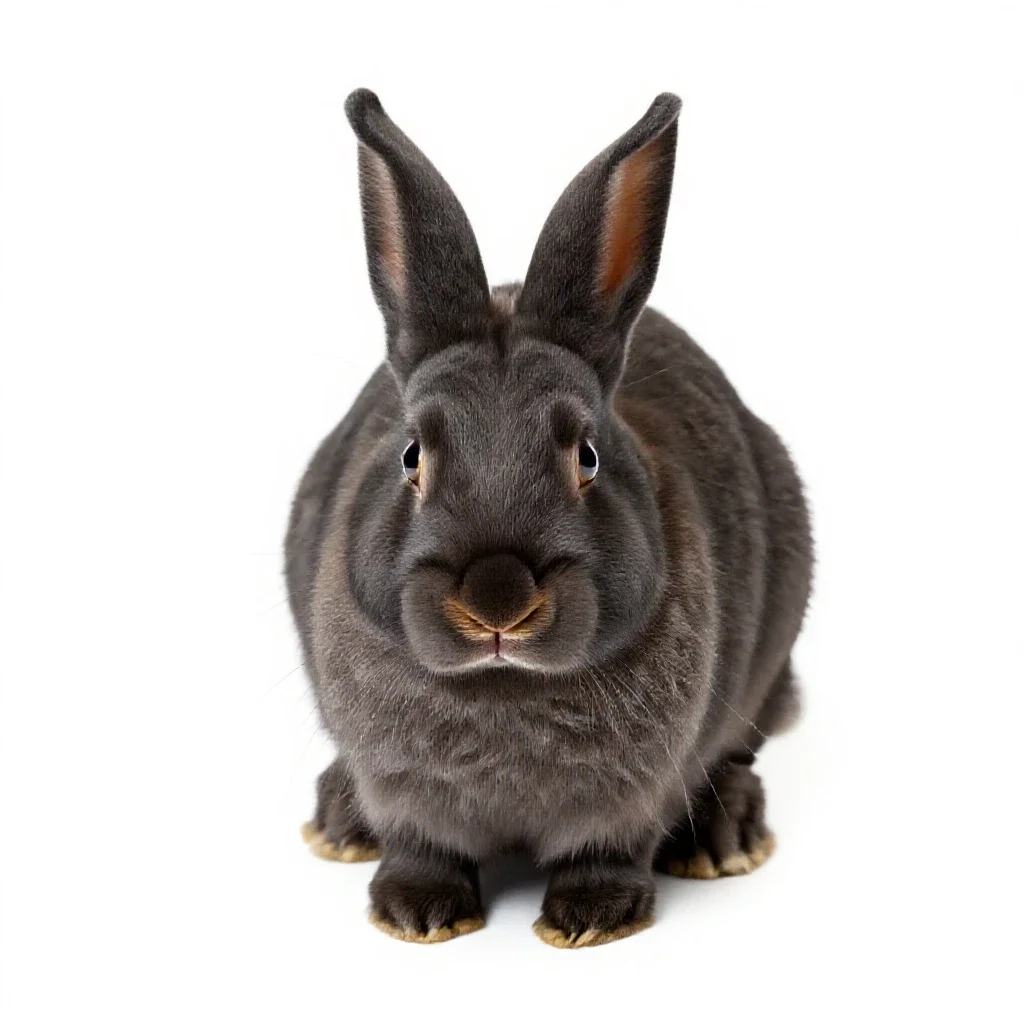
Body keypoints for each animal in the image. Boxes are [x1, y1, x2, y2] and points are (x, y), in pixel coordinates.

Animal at [286, 88, 813, 948]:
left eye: (586, 457)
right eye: (411, 455)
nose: (497, 601)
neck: (504, 686)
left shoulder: (631, 795)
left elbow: (605, 849)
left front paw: (591, 918)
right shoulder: (404, 789)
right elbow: (421, 844)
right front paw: (417, 912)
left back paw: (725, 838)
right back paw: (338, 823)